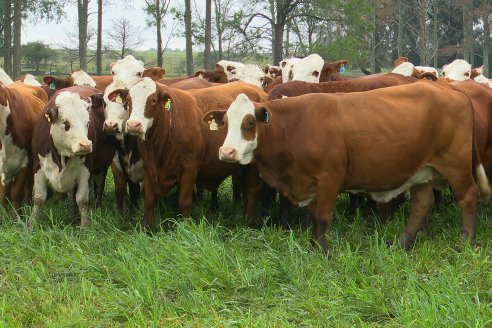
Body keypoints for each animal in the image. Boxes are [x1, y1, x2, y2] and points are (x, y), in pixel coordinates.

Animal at [29, 86, 116, 227]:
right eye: (66, 123)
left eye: (88, 123)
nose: (85, 145)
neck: (62, 156)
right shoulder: (38, 167)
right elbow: (38, 198)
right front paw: (32, 223)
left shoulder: (86, 170)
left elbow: (82, 200)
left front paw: (85, 225)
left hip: (100, 169)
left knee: (98, 188)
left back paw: (96, 207)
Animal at [108, 79, 270, 228]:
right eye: (128, 101)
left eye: (153, 100)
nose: (133, 125)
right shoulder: (149, 166)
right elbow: (149, 199)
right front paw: (146, 227)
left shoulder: (189, 167)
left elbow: (184, 201)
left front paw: (185, 226)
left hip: (252, 165)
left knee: (252, 189)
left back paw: (250, 221)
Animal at [203, 82, 488, 254]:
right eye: (225, 122)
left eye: (250, 123)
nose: (227, 152)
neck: (294, 126)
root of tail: (450, 90)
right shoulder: (309, 183)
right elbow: (313, 217)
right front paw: (314, 246)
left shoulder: (330, 178)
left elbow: (322, 217)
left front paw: (324, 251)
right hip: (421, 172)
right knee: (421, 204)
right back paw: (403, 242)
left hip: (456, 164)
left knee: (467, 196)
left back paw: (467, 241)